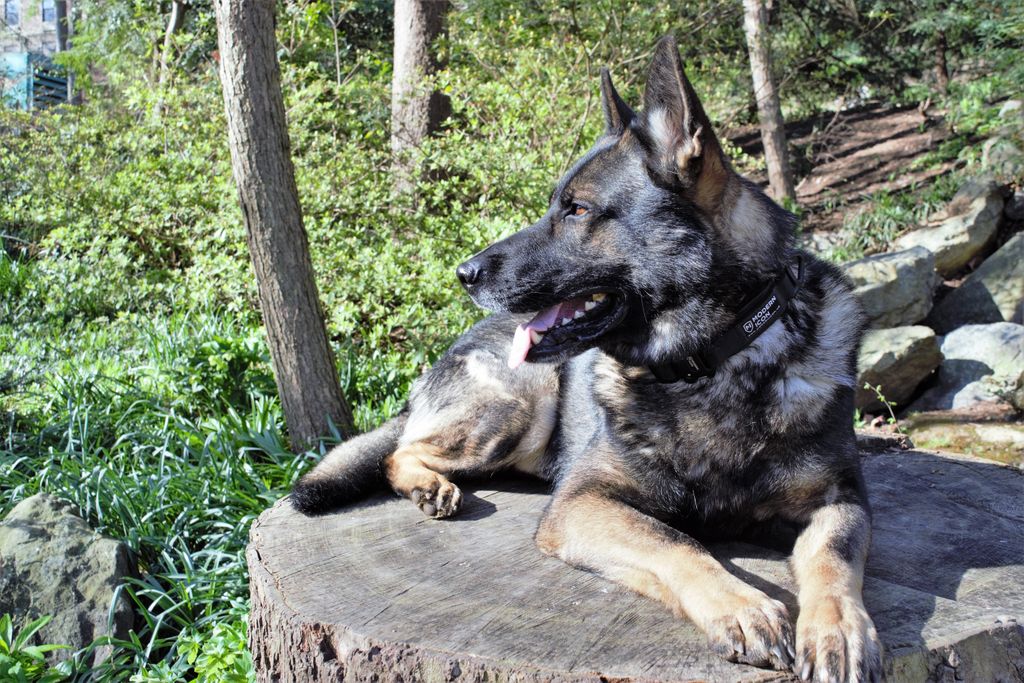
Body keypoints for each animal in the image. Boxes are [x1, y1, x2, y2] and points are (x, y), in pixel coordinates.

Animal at [294, 36, 880, 683]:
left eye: (576, 210)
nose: (463, 273)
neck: (711, 365)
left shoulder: (841, 501)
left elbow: (832, 561)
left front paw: (837, 630)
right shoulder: (582, 503)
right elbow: (678, 543)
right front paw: (743, 606)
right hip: (513, 409)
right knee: (399, 450)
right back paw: (430, 486)